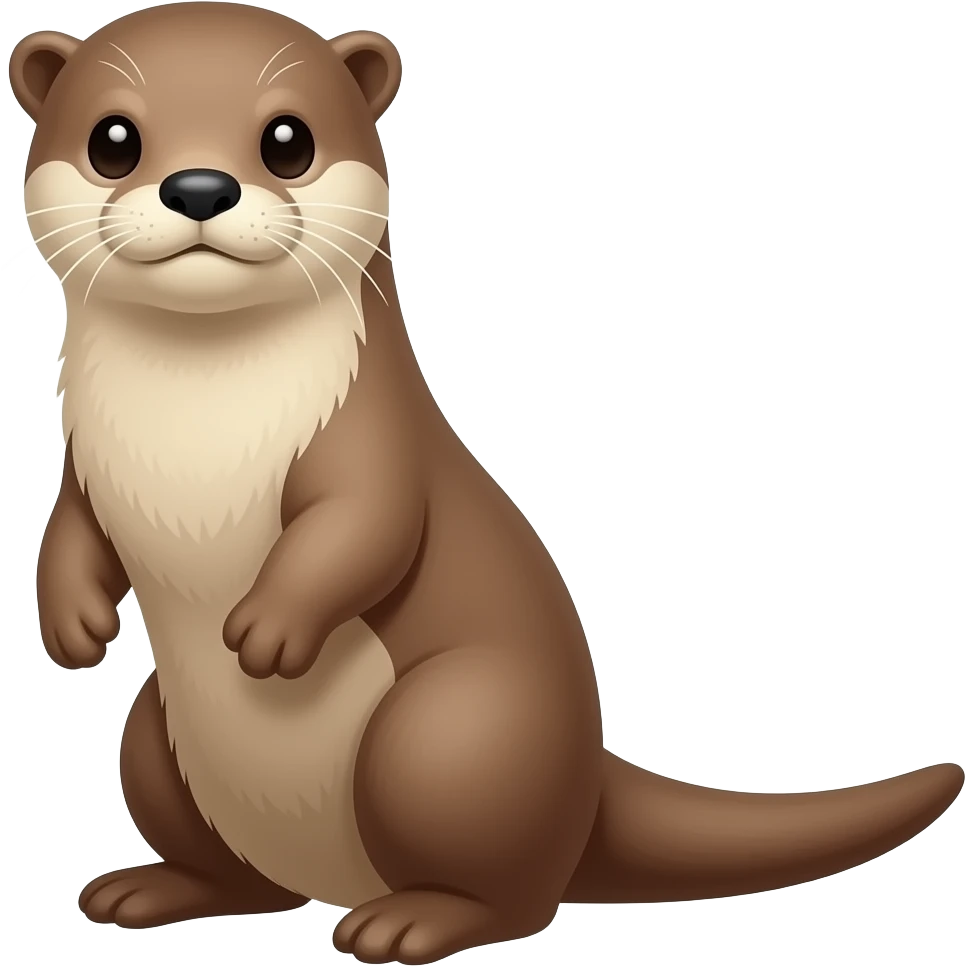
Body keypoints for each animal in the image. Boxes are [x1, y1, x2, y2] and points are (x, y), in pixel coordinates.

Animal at [14, 4, 964, 964]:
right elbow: (73, 531)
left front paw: (270, 630)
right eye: (113, 140)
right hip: (155, 737)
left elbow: (365, 524)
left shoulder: (372, 437)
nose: (201, 187)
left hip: (453, 731)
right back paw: (155, 888)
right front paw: (72, 625)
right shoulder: (84, 462)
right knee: (241, 872)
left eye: (288, 140)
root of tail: (587, 781)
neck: (194, 424)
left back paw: (412, 919)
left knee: (517, 893)